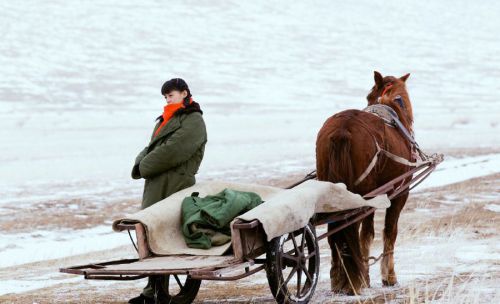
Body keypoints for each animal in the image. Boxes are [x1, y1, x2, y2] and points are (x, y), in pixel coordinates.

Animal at [318, 71, 412, 294]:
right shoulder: (400, 194)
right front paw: (388, 276)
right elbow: (387, 232)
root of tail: (343, 129)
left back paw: (339, 279)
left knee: (335, 232)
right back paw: (356, 278)